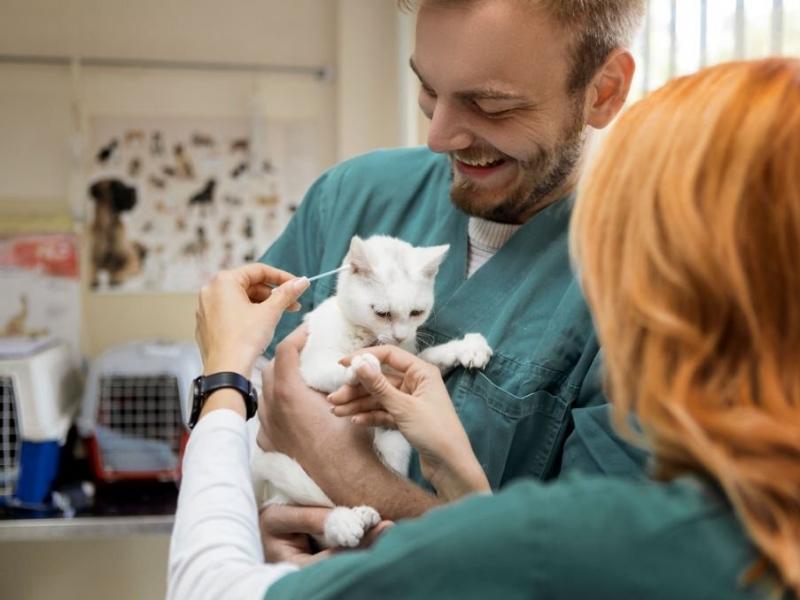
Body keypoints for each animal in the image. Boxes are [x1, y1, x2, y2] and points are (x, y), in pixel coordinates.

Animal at [250, 234, 490, 548]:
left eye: (416, 312)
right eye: (382, 313)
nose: (400, 335)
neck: (369, 336)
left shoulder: (407, 363)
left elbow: (430, 360)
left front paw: (466, 348)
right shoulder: (312, 367)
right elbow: (335, 369)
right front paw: (359, 367)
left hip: (397, 442)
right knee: (306, 511)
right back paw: (343, 523)